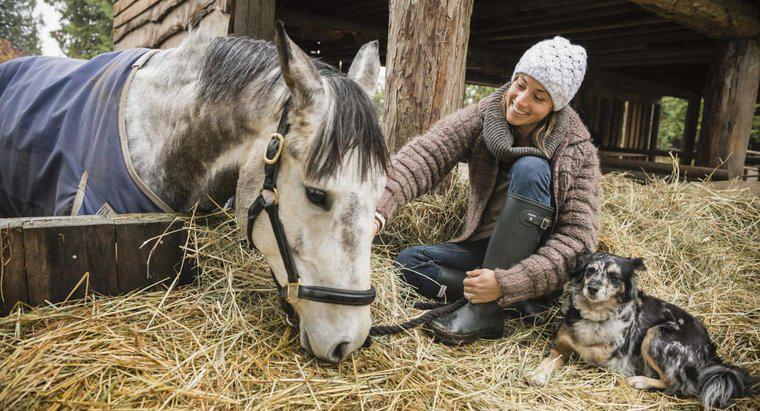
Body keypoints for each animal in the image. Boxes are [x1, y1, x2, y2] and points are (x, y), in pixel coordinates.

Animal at [528, 251, 756, 408]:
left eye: (614, 276)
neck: (594, 316)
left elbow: (585, 355)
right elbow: (549, 361)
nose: (592, 288)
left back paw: (641, 381)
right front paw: (537, 374)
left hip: (656, 335)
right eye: (590, 270)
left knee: (679, 385)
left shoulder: (609, 360)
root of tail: (709, 349)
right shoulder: (561, 347)